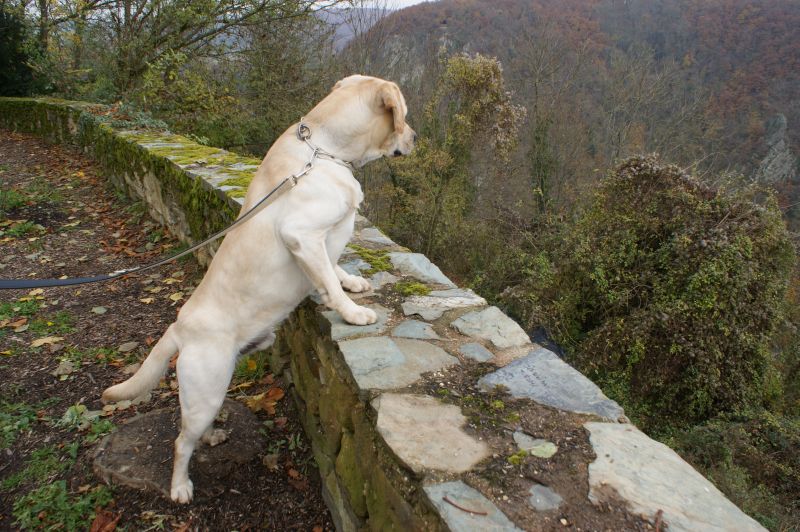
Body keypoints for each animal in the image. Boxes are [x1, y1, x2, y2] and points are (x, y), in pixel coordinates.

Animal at [102, 75, 416, 502]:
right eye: (404, 116)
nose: (415, 137)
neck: (325, 150)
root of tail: (179, 327)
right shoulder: (302, 234)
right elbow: (328, 280)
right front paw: (351, 311)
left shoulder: (325, 238)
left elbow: (334, 267)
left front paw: (351, 281)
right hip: (207, 388)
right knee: (181, 441)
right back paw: (180, 485)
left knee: (192, 431)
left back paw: (213, 437)